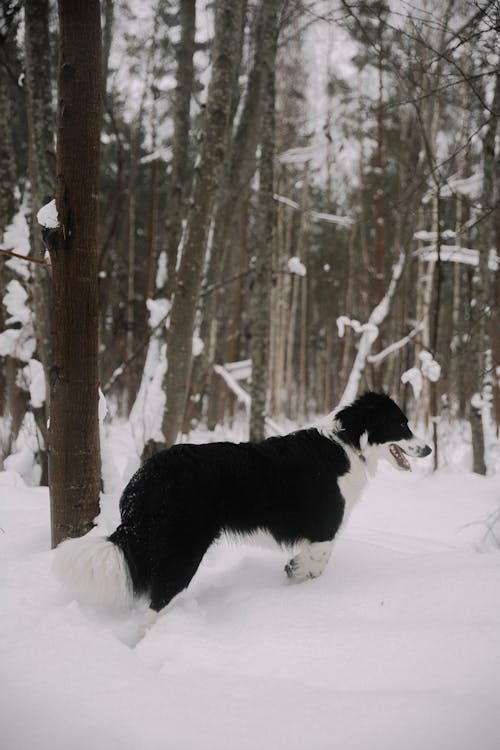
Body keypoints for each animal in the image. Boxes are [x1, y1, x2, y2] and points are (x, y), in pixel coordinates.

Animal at [53, 394, 430, 628]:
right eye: (402, 424)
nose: (427, 449)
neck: (348, 442)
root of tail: (148, 474)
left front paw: (295, 575)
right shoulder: (324, 528)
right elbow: (319, 559)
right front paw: (296, 572)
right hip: (183, 548)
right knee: (157, 601)